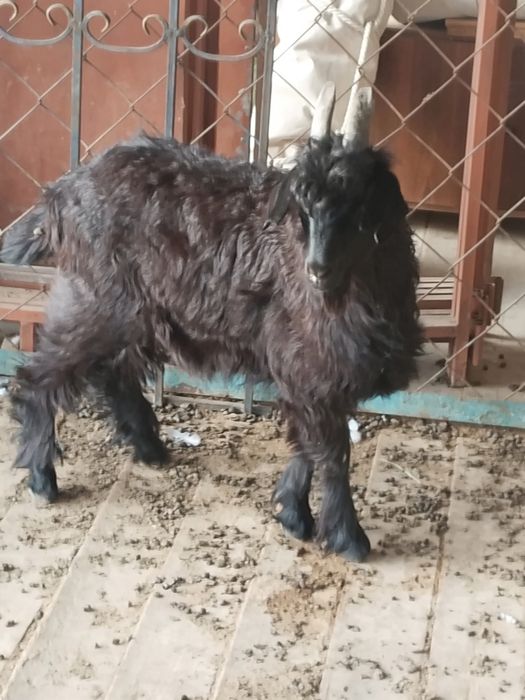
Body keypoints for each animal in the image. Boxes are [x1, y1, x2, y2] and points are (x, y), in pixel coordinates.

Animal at [1, 82, 423, 562]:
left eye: (357, 203)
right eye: (303, 206)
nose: (317, 268)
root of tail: (60, 193)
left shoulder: (309, 373)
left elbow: (308, 444)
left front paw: (293, 513)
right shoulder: (310, 366)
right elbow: (330, 452)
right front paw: (349, 538)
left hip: (132, 311)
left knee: (111, 371)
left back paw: (148, 447)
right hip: (96, 301)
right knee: (39, 376)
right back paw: (42, 476)